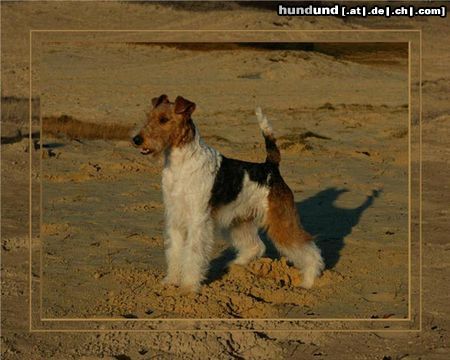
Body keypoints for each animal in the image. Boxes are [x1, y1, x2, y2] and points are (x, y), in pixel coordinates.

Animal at [132, 94, 326, 292]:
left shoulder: (198, 220)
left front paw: (188, 286)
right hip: (239, 221)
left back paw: (308, 281)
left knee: (309, 249)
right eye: (148, 116)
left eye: (164, 120)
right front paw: (171, 281)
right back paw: (234, 267)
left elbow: (193, 253)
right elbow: (175, 252)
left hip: (281, 221)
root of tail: (271, 167)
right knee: (256, 246)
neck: (182, 162)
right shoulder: (175, 217)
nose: (136, 140)